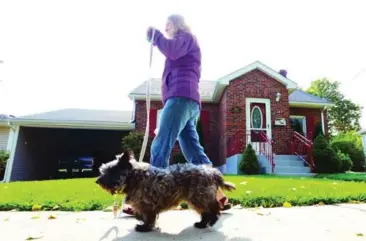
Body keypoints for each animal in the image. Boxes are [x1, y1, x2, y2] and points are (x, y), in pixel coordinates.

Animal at [94, 150, 236, 233]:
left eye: (111, 170)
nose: (97, 181)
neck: (134, 176)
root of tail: (212, 172)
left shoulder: (147, 204)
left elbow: (149, 217)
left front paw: (144, 227)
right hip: (196, 198)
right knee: (206, 212)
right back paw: (201, 224)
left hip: (199, 196)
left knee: (213, 209)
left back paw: (212, 220)